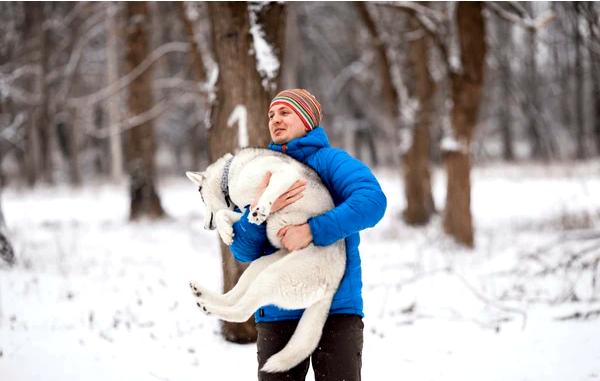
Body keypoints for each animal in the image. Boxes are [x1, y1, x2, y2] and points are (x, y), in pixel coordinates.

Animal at [188, 148, 346, 372]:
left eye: (201, 198)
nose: (205, 227)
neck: (230, 174)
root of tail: (334, 285)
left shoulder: (283, 175)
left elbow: (267, 193)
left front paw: (260, 210)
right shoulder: (243, 211)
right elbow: (227, 215)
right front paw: (227, 232)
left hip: (273, 276)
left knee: (242, 312)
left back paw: (209, 307)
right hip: (260, 267)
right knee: (234, 298)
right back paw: (203, 296)